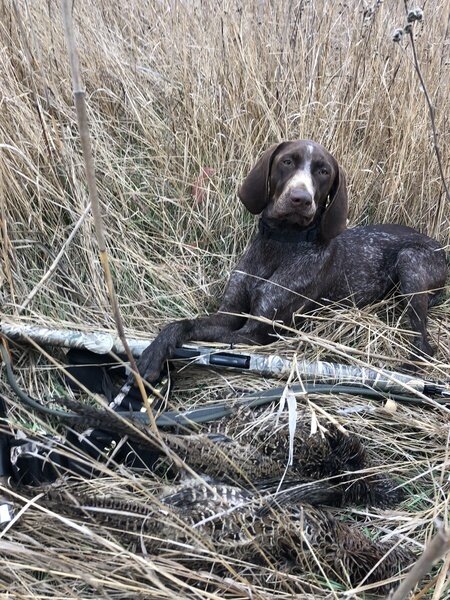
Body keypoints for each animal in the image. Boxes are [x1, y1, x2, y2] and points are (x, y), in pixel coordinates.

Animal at [137, 140, 447, 381]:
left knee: (424, 344)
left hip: (410, 262)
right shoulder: (227, 316)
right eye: (287, 161)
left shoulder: (256, 332)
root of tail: (440, 247)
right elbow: (183, 324)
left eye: (323, 171)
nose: (301, 198)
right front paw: (155, 351)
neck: (280, 243)